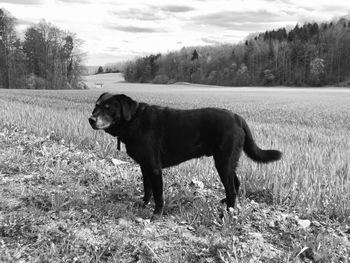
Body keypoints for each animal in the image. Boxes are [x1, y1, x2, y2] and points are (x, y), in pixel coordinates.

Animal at [88, 94, 282, 220]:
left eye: (108, 108)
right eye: (96, 106)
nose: (91, 119)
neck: (134, 120)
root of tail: (238, 117)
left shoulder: (154, 168)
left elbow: (158, 194)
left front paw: (156, 214)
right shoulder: (144, 166)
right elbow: (147, 189)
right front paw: (143, 204)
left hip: (223, 161)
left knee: (232, 187)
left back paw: (228, 213)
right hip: (227, 160)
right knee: (235, 182)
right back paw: (227, 204)